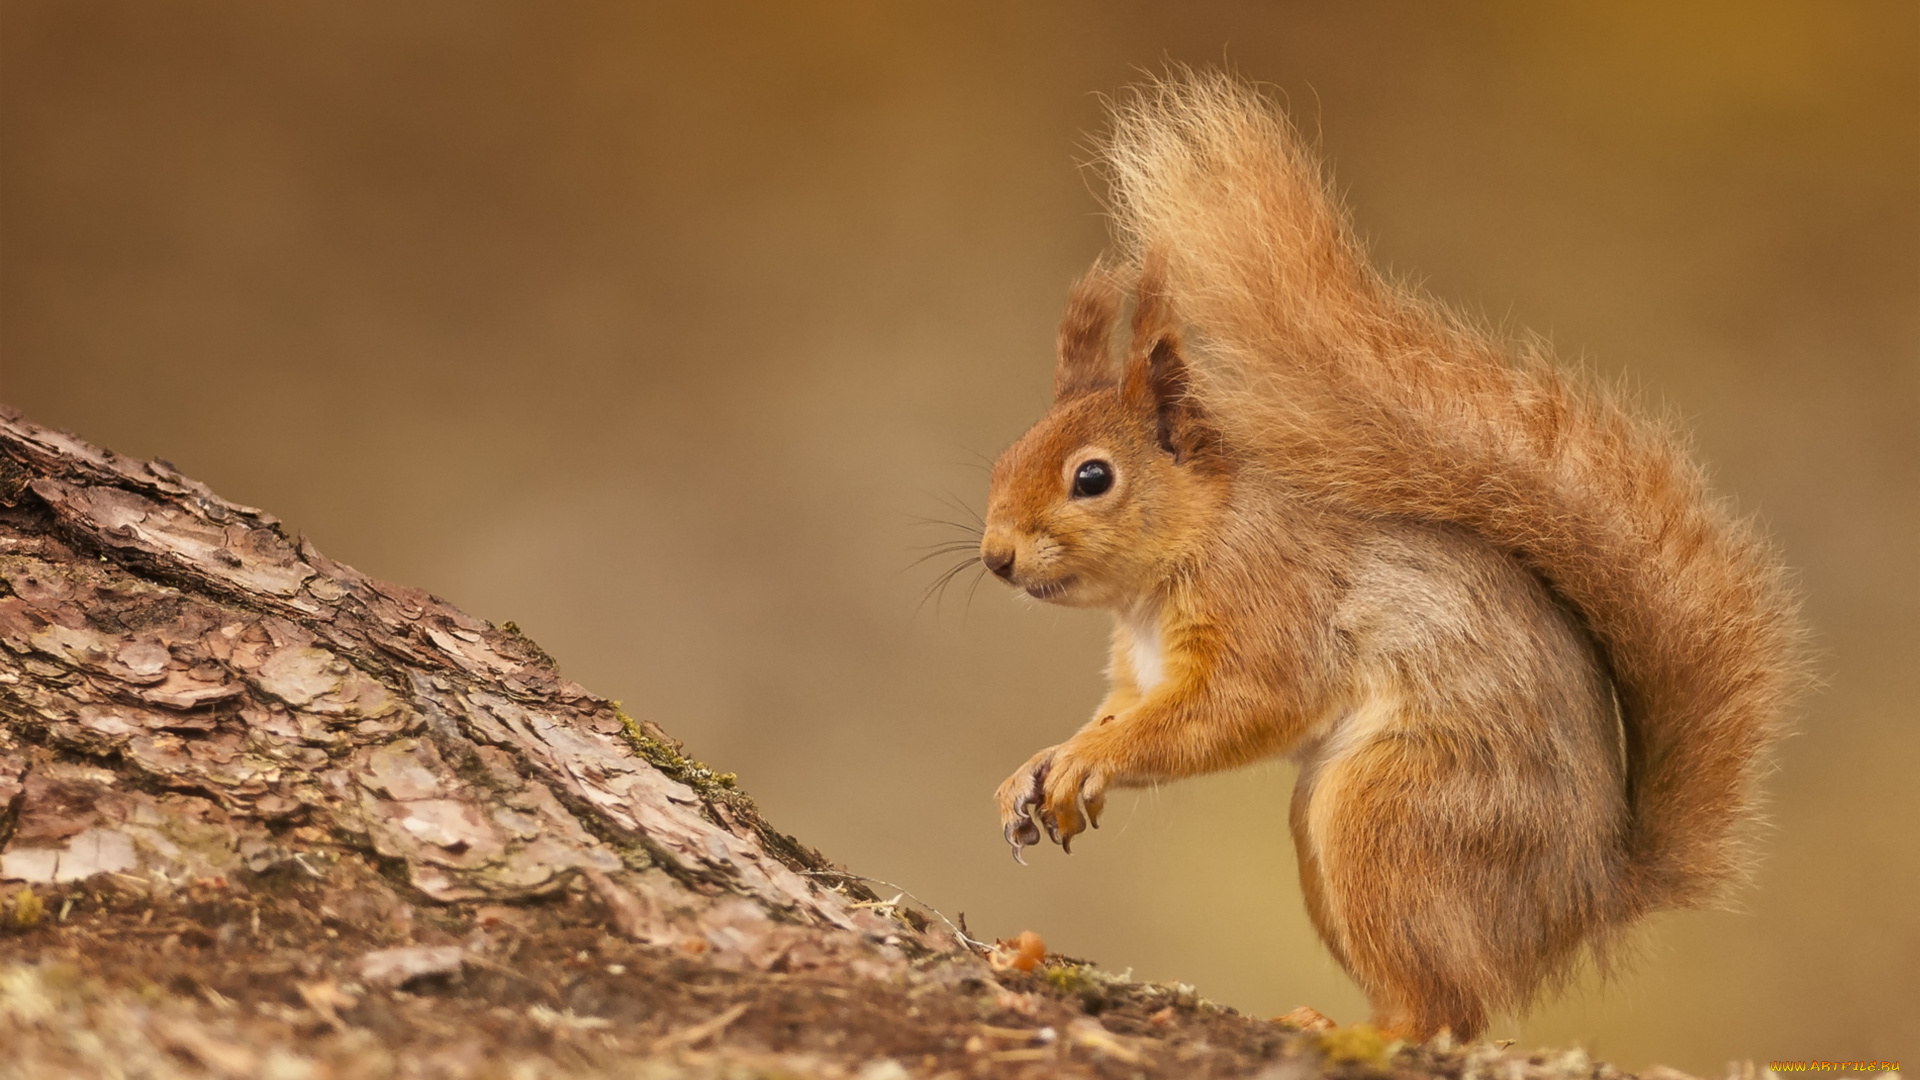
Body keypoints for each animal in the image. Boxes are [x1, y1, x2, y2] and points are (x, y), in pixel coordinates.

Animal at [983, 73, 1804, 1037]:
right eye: (1004, 457)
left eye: (1093, 477)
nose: (995, 557)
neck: (1180, 557)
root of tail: (1587, 897)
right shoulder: (1138, 669)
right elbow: (1118, 711)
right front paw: (1043, 765)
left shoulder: (1271, 607)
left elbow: (1229, 711)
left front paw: (1089, 763)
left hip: (1393, 815)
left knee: (1446, 1010)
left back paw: (1353, 1032)